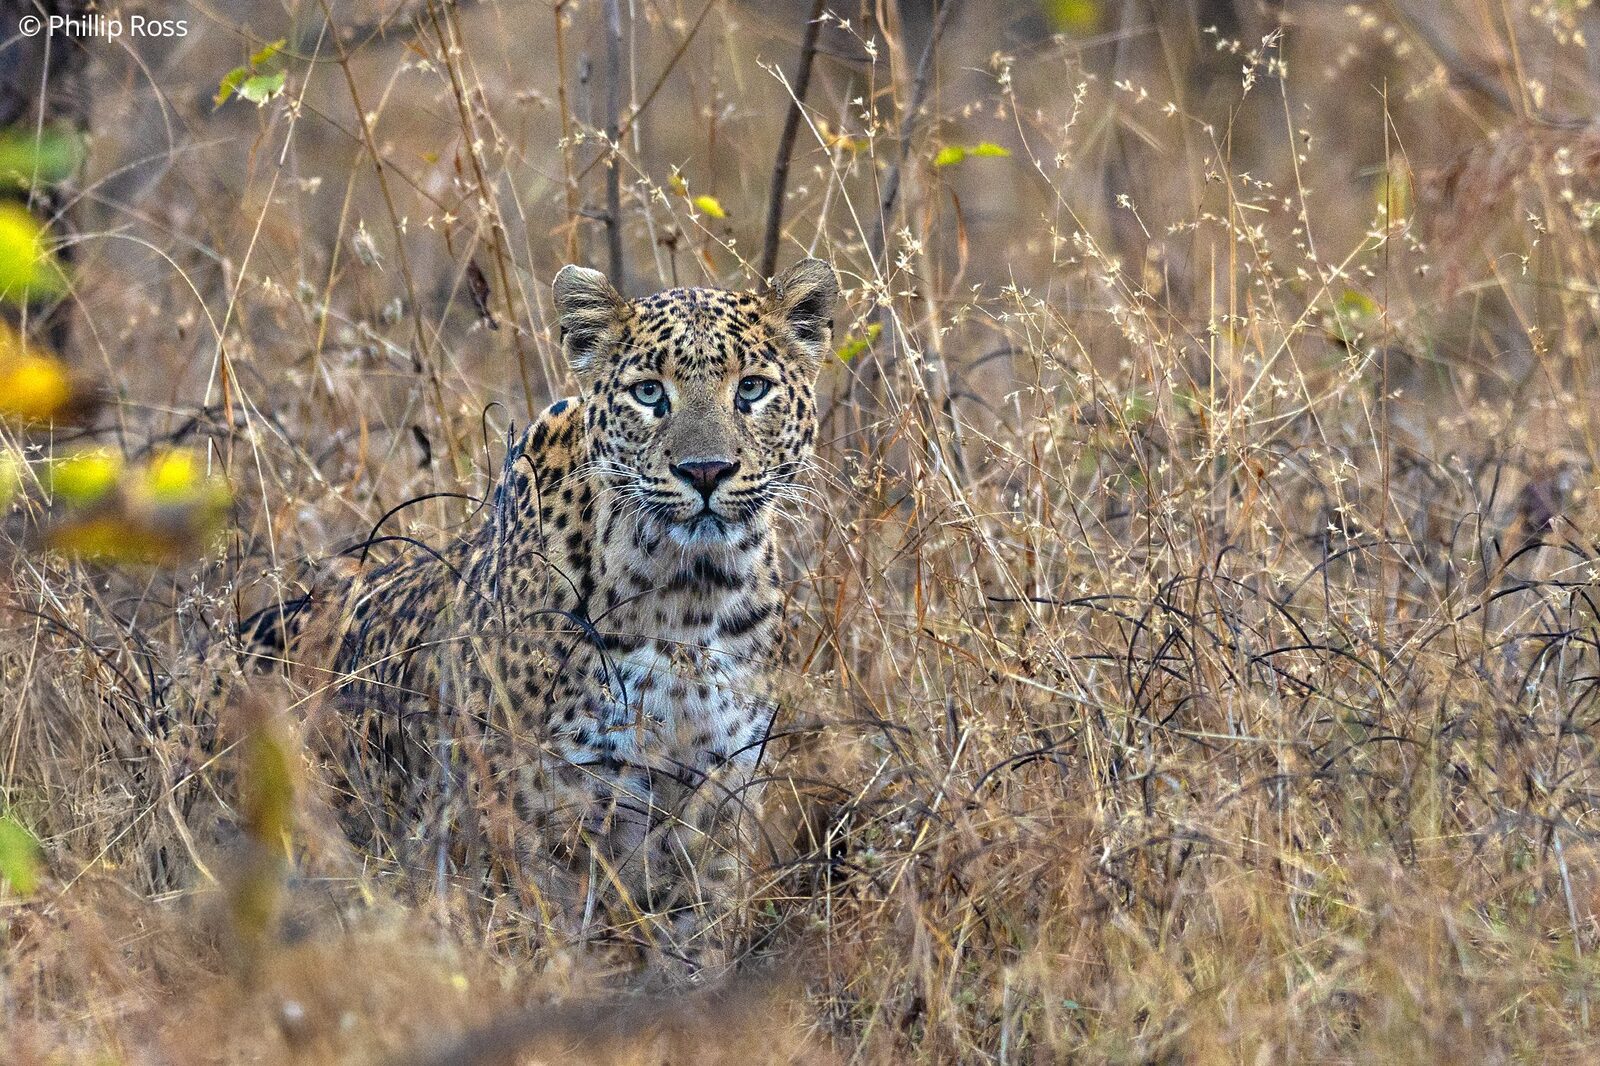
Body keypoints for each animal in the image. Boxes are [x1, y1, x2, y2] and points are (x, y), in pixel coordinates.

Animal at [281, 259, 837, 966]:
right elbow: (540, 942)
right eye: (650, 394)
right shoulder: (535, 812)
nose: (706, 470)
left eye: (752, 389)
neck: (691, 599)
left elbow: (698, 941)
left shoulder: (721, 799)